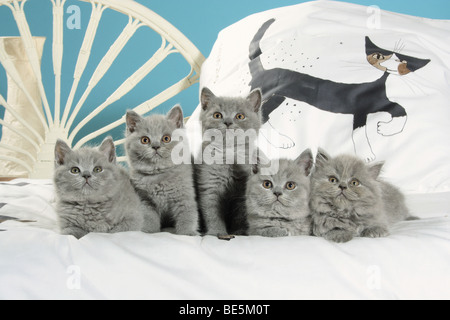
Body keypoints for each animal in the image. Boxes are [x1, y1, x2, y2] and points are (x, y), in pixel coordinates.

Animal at [125, 105, 199, 235]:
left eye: (166, 138)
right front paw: (148, 231)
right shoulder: (145, 200)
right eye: (145, 140)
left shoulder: (184, 196)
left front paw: (187, 233)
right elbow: (149, 218)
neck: (158, 175)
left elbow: (187, 215)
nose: (155, 146)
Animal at [195, 86, 262, 236]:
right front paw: (217, 232)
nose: (227, 122)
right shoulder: (209, 185)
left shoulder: (242, 190)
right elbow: (212, 213)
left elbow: (240, 214)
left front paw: (239, 232)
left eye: (240, 116)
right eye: (217, 115)